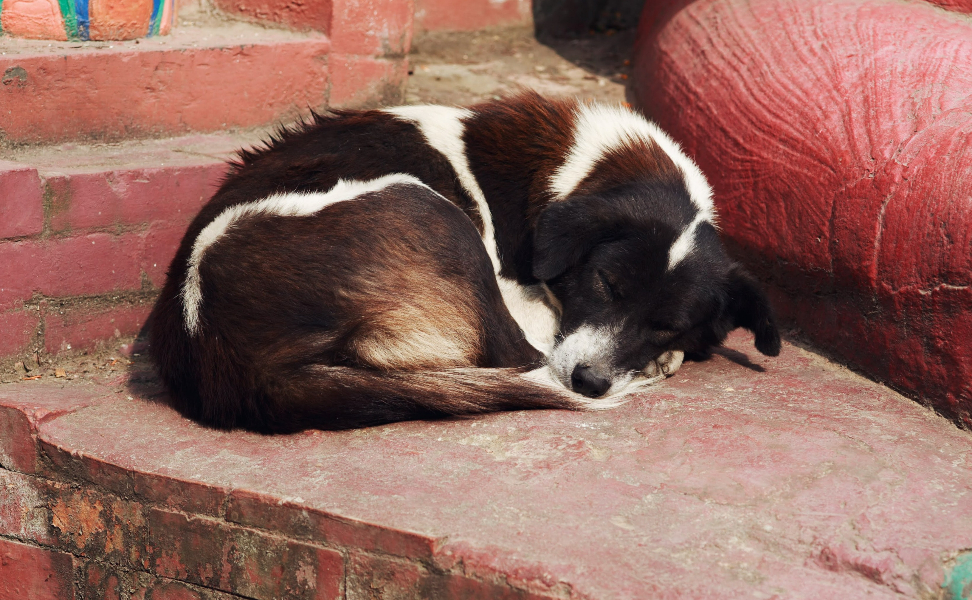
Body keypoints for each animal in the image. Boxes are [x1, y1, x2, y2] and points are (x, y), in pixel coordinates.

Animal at [146, 92, 784, 432]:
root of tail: (236, 364)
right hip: (431, 209)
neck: (583, 169)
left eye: (667, 324)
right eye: (605, 284)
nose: (590, 382)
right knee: (518, 355)